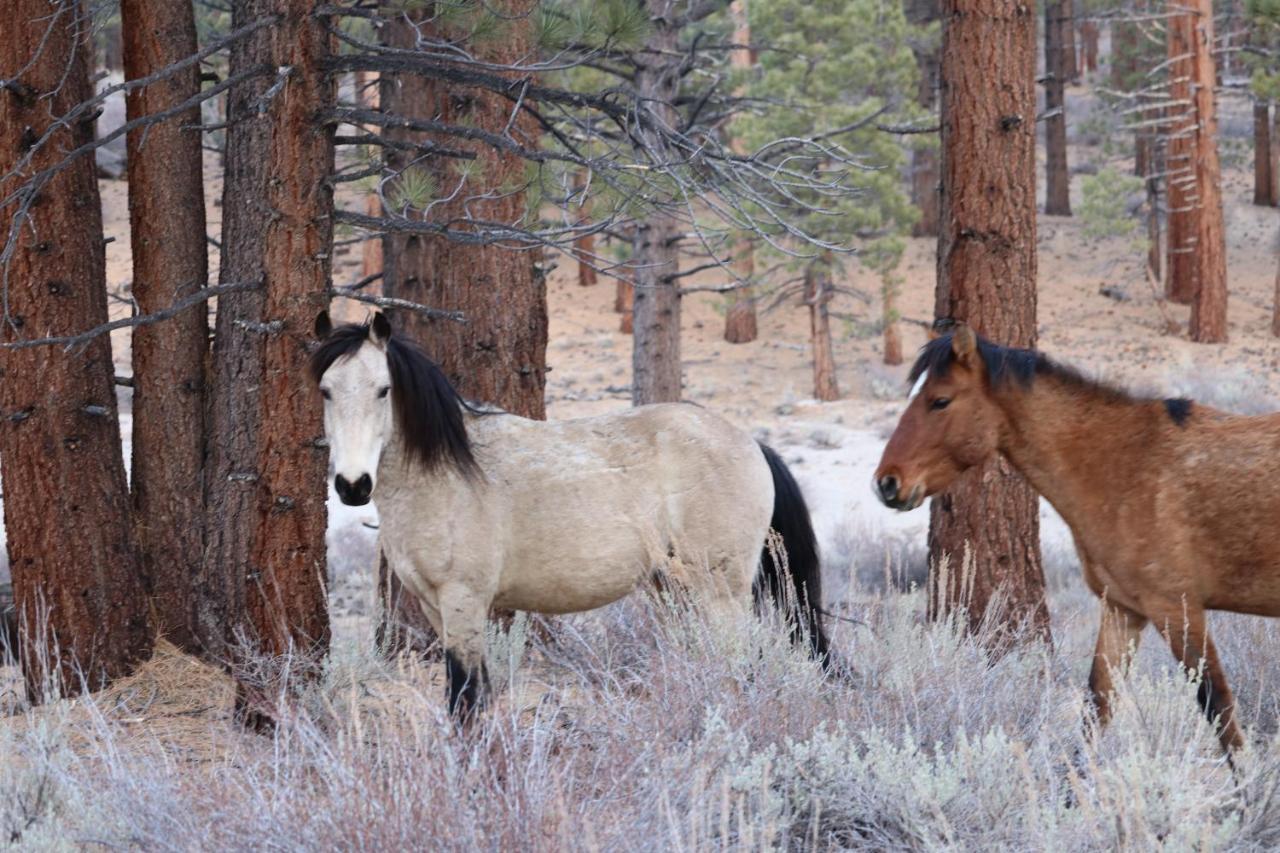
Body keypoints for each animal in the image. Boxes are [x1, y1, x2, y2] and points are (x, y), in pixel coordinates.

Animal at [309, 308, 829, 712]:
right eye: (326, 390)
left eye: (383, 389)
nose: (353, 485)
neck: (445, 471)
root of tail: (751, 442)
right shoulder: (433, 606)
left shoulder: (464, 600)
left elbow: (465, 696)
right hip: (675, 589)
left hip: (722, 590)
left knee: (739, 662)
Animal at [875, 322, 1280, 747]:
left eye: (940, 401)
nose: (887, 482)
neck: (1128, 466)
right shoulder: (1122, 610)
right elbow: (1095, 710)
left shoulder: (1178, 609)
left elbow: (1221, 713)